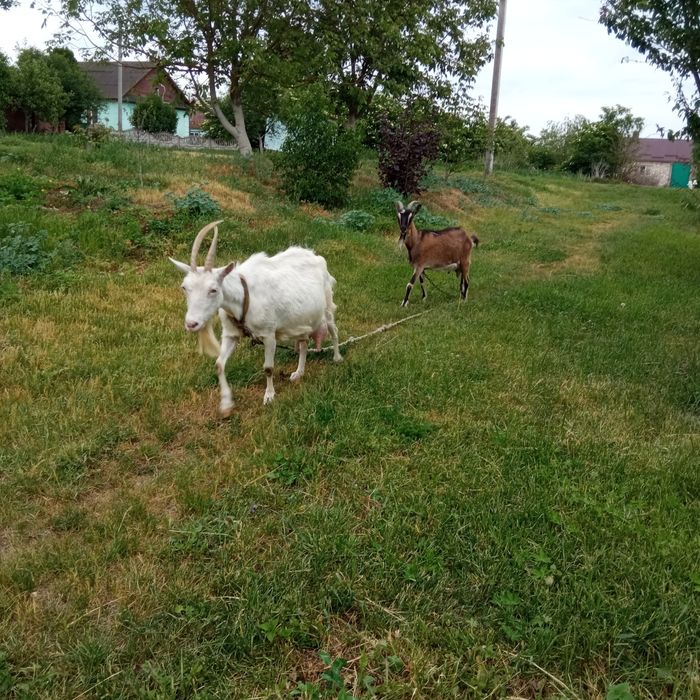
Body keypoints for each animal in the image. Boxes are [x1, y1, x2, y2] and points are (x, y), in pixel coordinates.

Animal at [170, 221, 342, 416]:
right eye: (184, 287)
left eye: (213, 289)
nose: (191, 324)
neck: (243, 297)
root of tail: (317, 257)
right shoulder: (230, 334)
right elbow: (219, 364)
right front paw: (226, 404)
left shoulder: (268, 335)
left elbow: (268, 368)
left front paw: (269, 397)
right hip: (301, 319)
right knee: (304, 342)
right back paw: (299, 372)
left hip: (327, 305)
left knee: (334, 330)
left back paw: (337, 358)